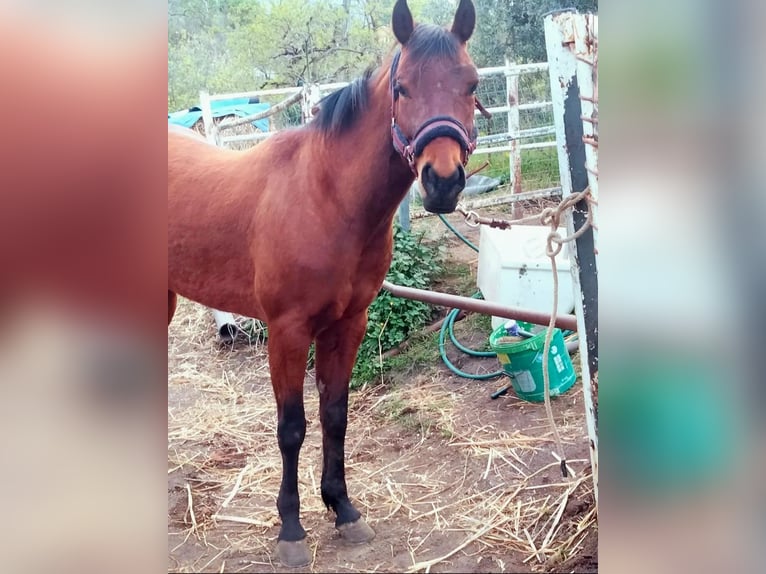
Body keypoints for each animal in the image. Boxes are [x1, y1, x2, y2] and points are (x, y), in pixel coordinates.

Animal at [168, 0, 480, 566]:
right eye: (402, 87)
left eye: (471, 84)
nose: (442, 182)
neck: (325, 197)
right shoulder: (288, 332)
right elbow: (292, 428)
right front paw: (291, 529)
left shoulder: (348, 324)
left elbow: (335, 414)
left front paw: (343, 509)